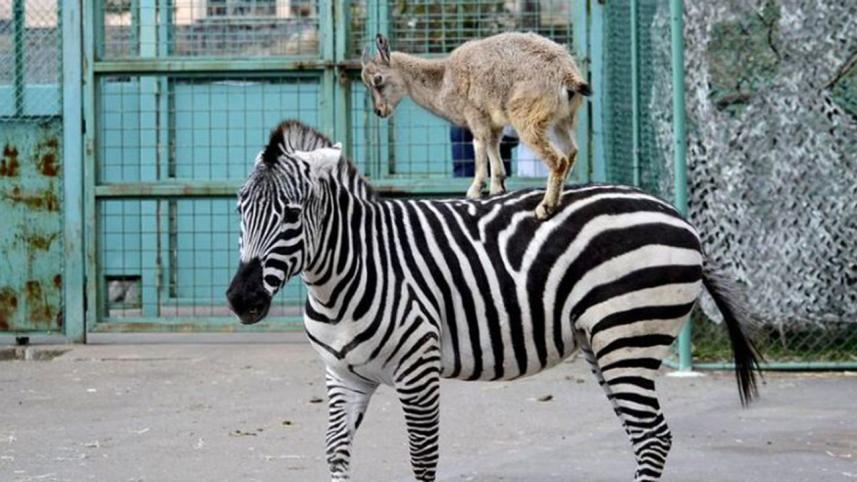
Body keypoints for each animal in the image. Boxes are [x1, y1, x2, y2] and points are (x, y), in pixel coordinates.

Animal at [226, 120, 761, 482]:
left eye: (292, 214)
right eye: (239, 209)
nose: (240, 298)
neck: (342, 277)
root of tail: (677, 215)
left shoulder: (417, 372)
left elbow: (423, 458)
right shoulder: (343, 376)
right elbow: (336, 453)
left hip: (628, 336)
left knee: (651, 435)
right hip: (604, 344)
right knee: (643, 433)